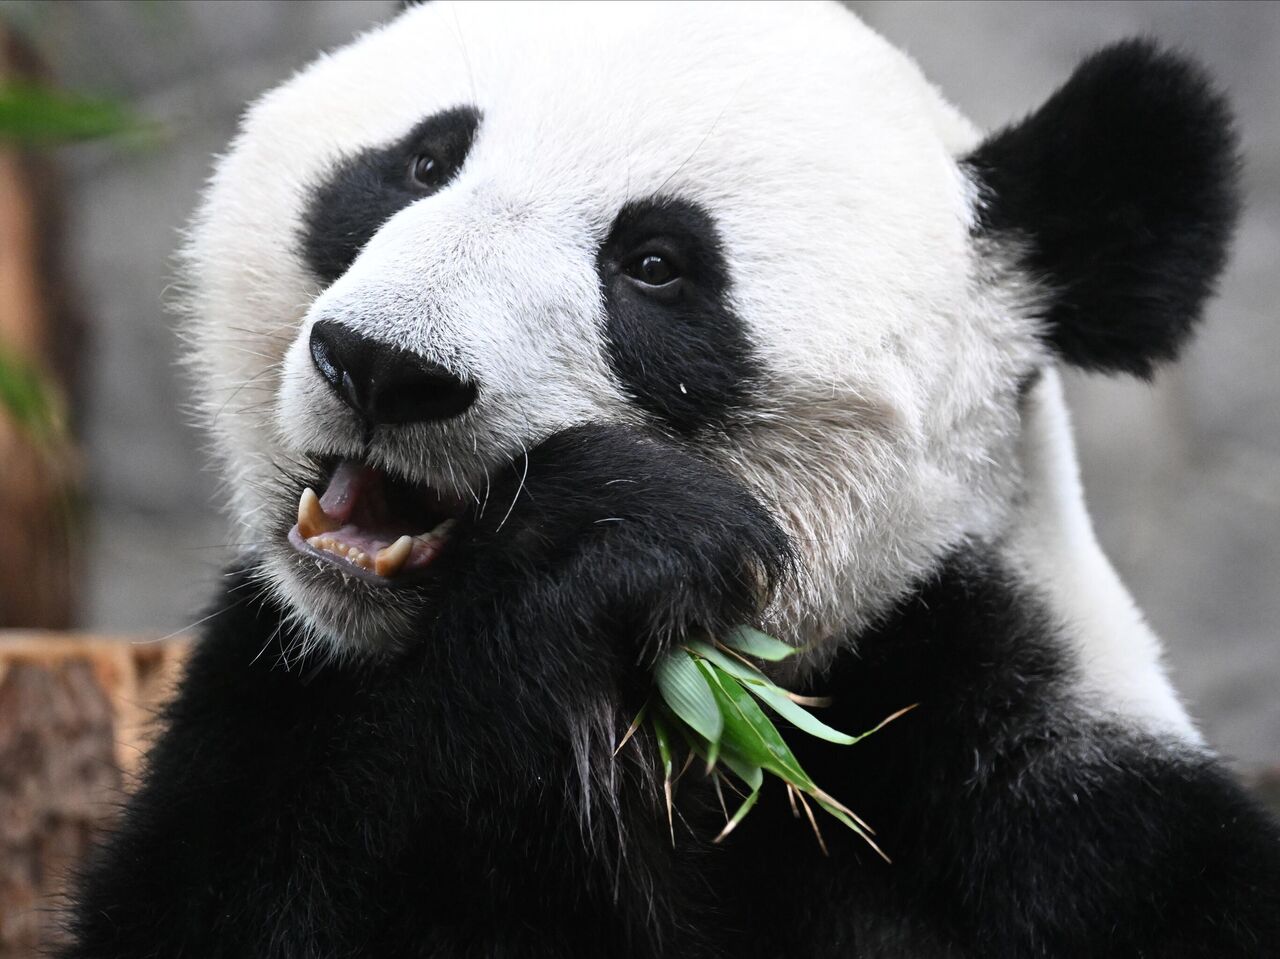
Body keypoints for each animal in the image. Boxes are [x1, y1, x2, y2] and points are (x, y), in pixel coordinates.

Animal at [60, 1, 1280, 957]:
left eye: (655, 263)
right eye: (423, 163)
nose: (383, 365)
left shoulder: (1062, 806)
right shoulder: (284, 684)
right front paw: (594, 543)